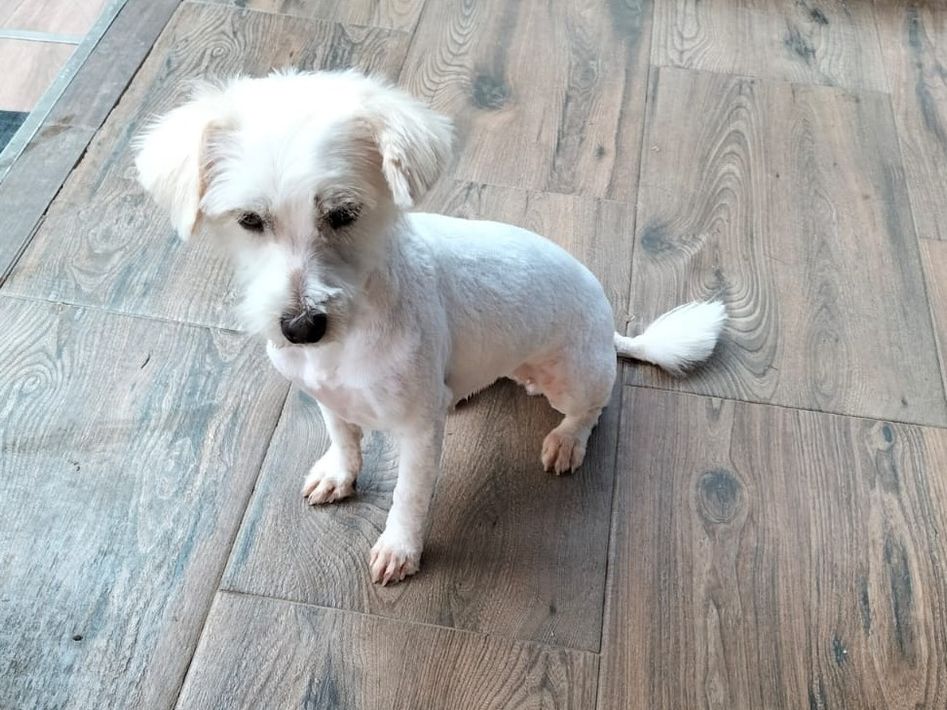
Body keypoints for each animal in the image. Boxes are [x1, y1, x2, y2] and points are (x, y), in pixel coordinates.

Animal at [135, 69, 726, 585]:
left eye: (344, 213)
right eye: (249, 220)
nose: (302, 327)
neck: (347, 338)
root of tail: (609, 328)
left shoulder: (418, 433)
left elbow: (409, 497)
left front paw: (400, 548)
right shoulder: (326, 397)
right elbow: (343, 437)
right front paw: (339, 472)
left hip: (575, 376)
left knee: (592, 407)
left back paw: (566, 440)